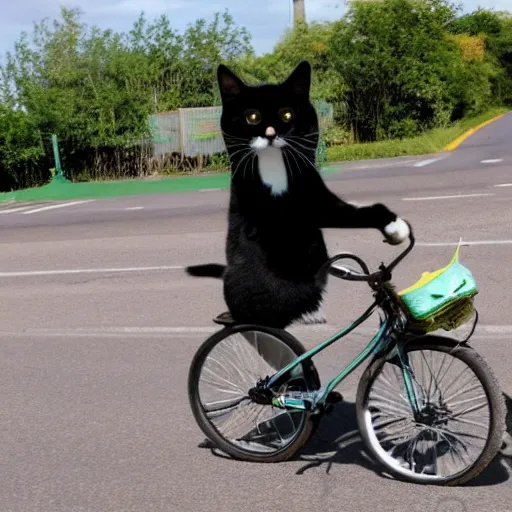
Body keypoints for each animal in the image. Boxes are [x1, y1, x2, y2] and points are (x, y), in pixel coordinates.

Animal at [186, 62, 410, 330]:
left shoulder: (317, 198)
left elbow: (357, 210)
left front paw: (394, 226)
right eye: (252, 116)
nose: (270, 134)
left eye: (287, 115)